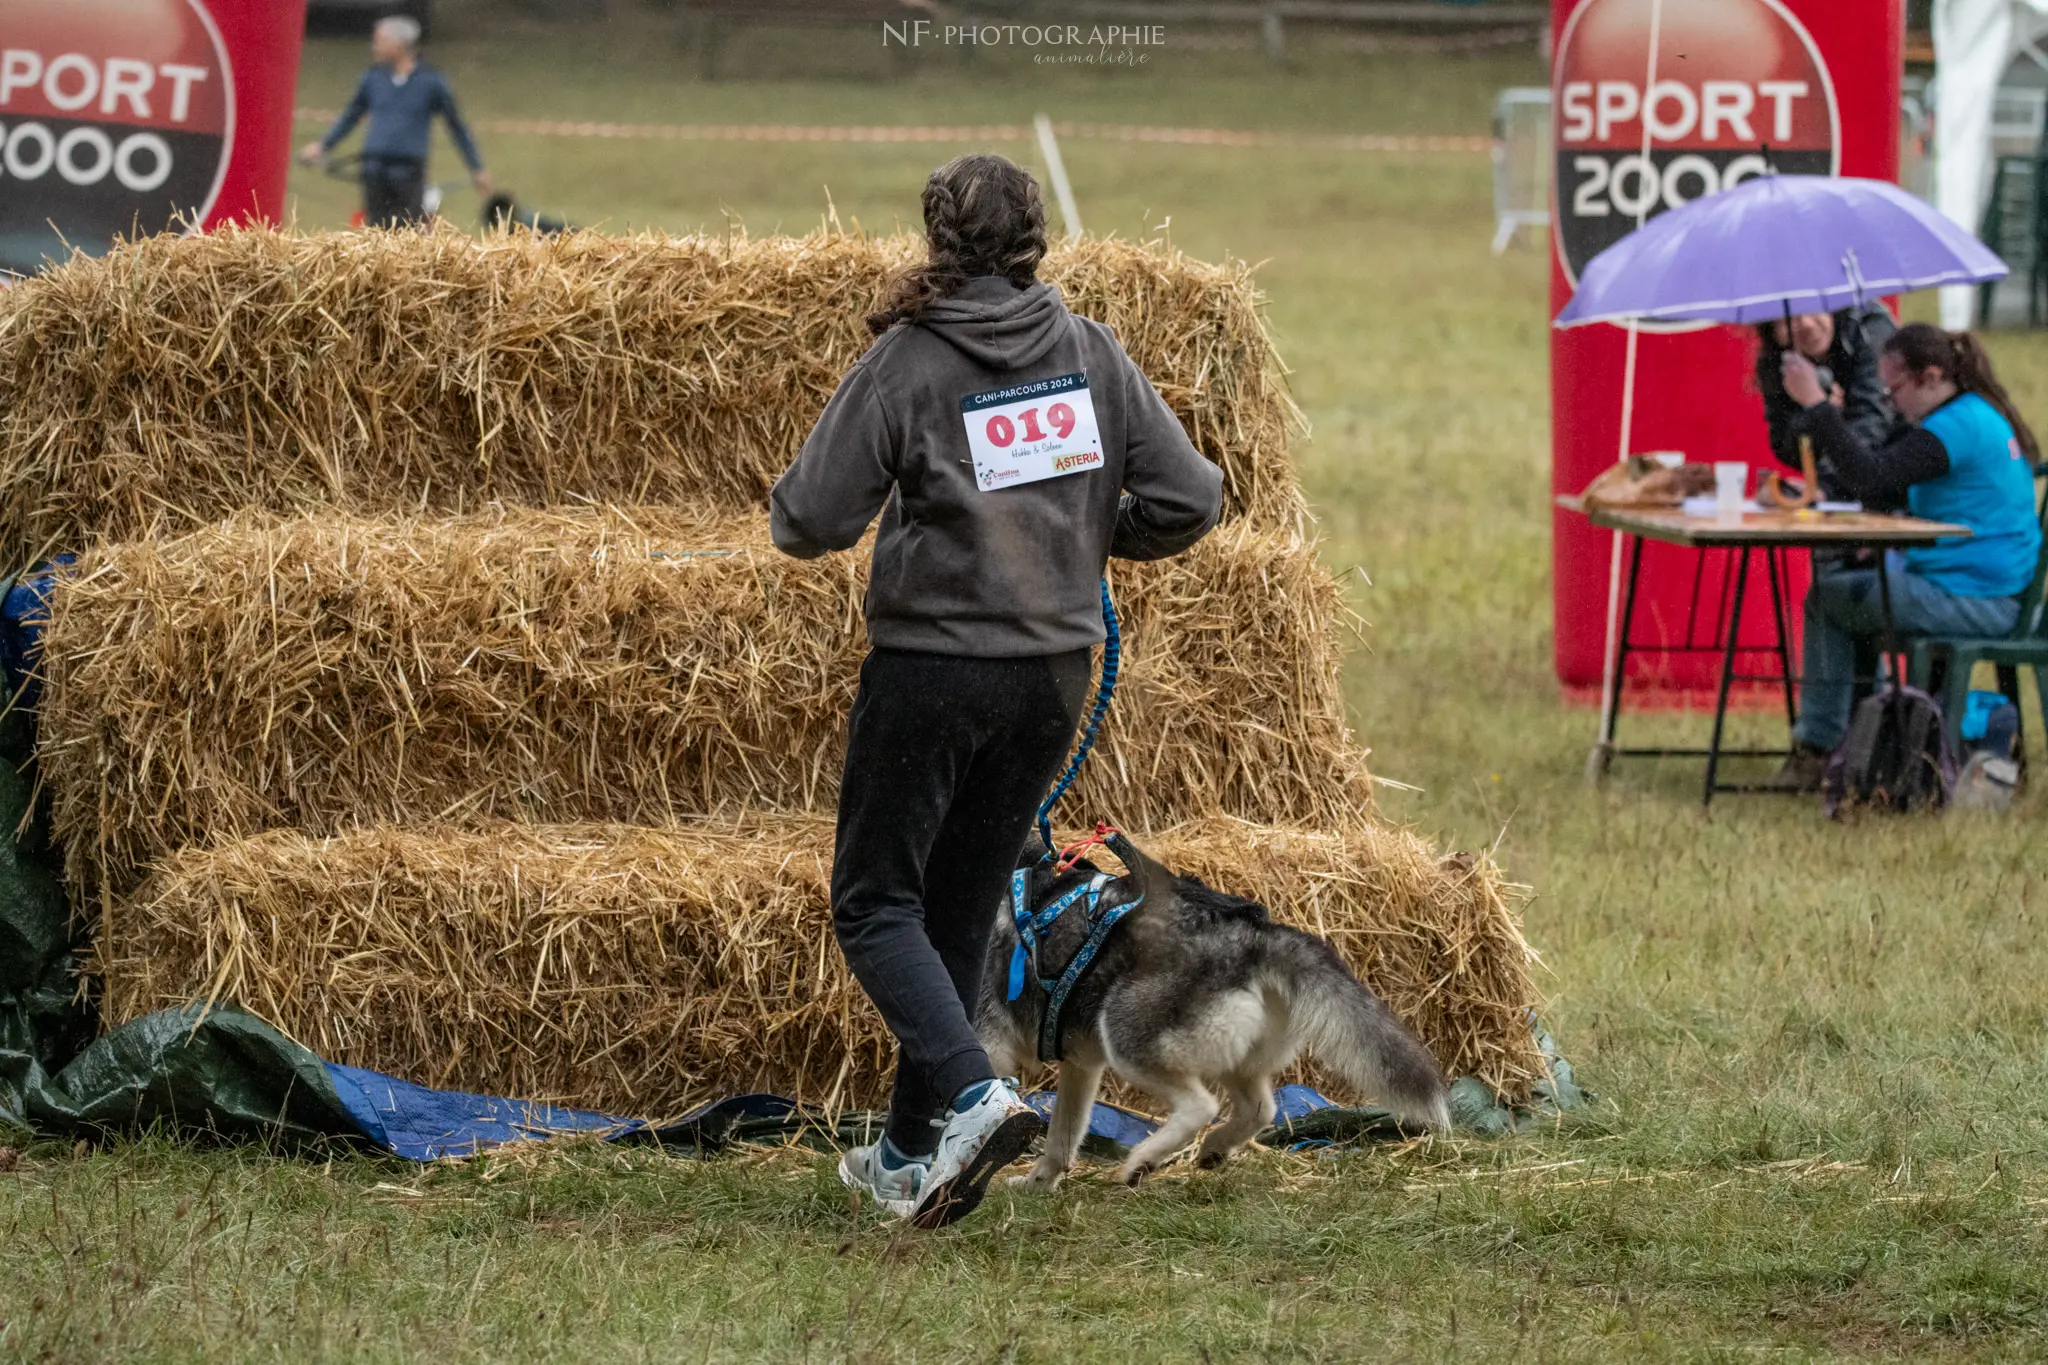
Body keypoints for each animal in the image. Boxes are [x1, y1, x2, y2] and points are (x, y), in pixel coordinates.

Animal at [970, 834, 1441, 1186]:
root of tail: (1256, 934)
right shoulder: (1081, 1063)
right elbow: (1062, 1139)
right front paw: (1036, 1184)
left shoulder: (992, 1046)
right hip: (1231, 1054)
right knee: (1260, 1109)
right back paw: (1214, 1148)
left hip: (1127, 1038)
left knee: (1201, 1106)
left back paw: (1143, 1159)